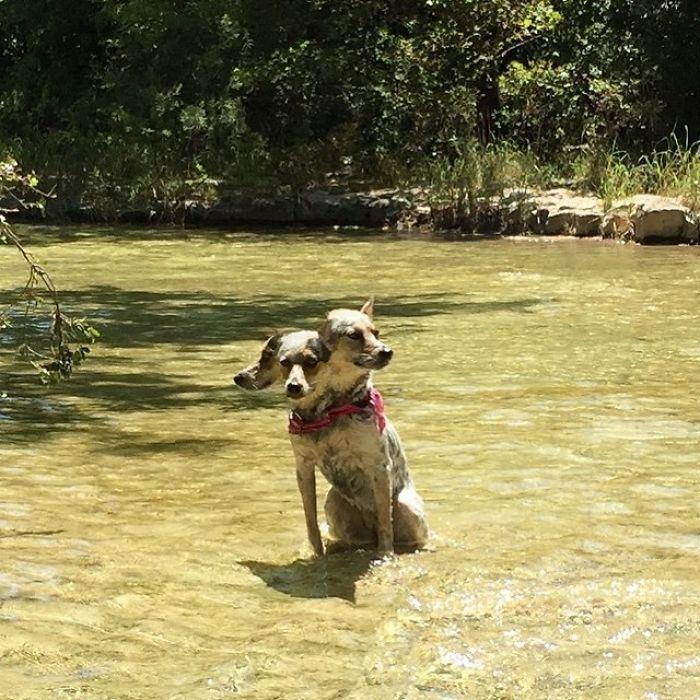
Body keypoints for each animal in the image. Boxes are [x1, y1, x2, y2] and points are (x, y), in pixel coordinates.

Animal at [235, 300, 430, 556]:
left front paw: (385, 556)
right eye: (354, 335)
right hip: (334, 502)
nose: (387, 351)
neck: (327, 412)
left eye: (375, 333)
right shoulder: (303, 467)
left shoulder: (378, 465)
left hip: (405, 507)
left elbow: (385, 525)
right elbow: (310, 522)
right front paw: (316, 554)